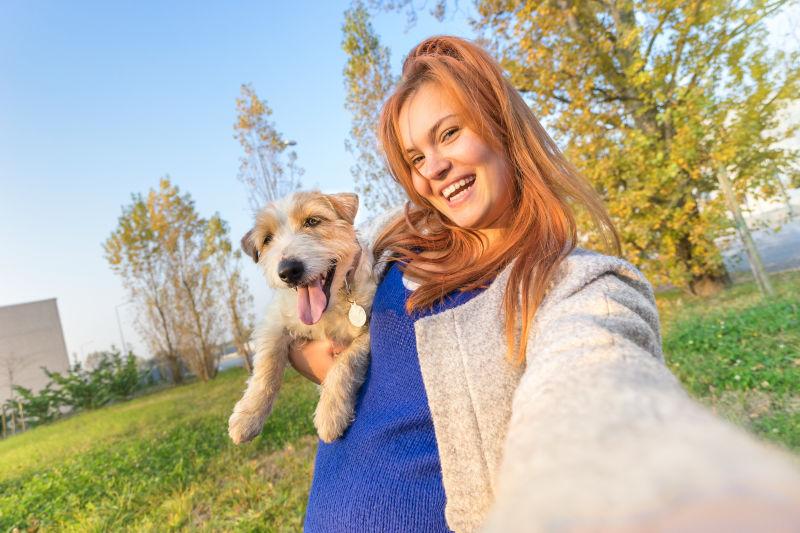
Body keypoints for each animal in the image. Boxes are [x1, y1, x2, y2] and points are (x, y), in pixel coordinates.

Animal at [225, 189, 376, 442]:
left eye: (312, 221)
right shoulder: (275, 322)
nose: (288, 271)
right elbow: (267, 365)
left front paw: (330, 413)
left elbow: (346, 361)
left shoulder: (368, 330)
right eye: (267, 239)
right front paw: (248, 416)